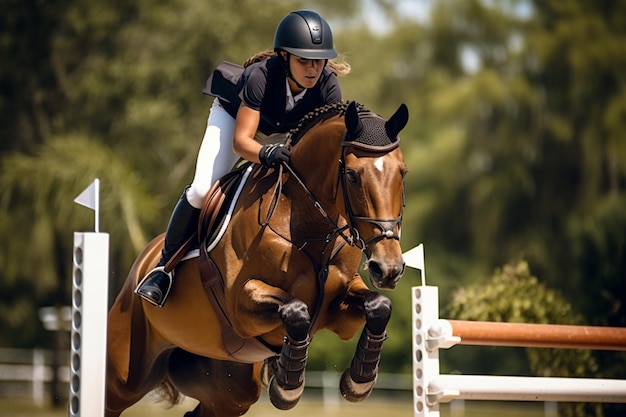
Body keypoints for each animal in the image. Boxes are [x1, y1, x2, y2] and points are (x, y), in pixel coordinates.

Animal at [106, 101, 410, 416]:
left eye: (403, 172)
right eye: (351, 175)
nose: (388, 268)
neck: (310, 228)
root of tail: (143, 260)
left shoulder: (340, 312)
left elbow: (379, 305)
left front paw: (358, 381)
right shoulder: (241, 306)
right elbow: (296, 310)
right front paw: (287, 387)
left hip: (230, 389)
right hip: (123, 377)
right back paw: (155, 283)